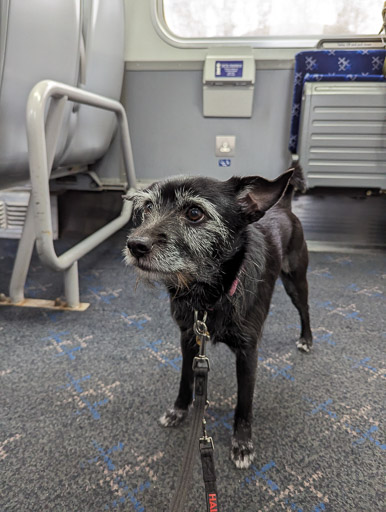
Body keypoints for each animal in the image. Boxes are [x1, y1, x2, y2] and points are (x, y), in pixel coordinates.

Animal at [125, 166, 312, 470]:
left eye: (194, 213)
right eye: (148, 207)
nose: (134, 245)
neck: (209, 297)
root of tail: (283, 205)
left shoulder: (248, 354)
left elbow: (244, 403)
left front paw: (242, 443)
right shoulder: (189, 338)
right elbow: (186, 380)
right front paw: (178, 410)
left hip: (296, 281)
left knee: (305, 310)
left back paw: (306, 339)